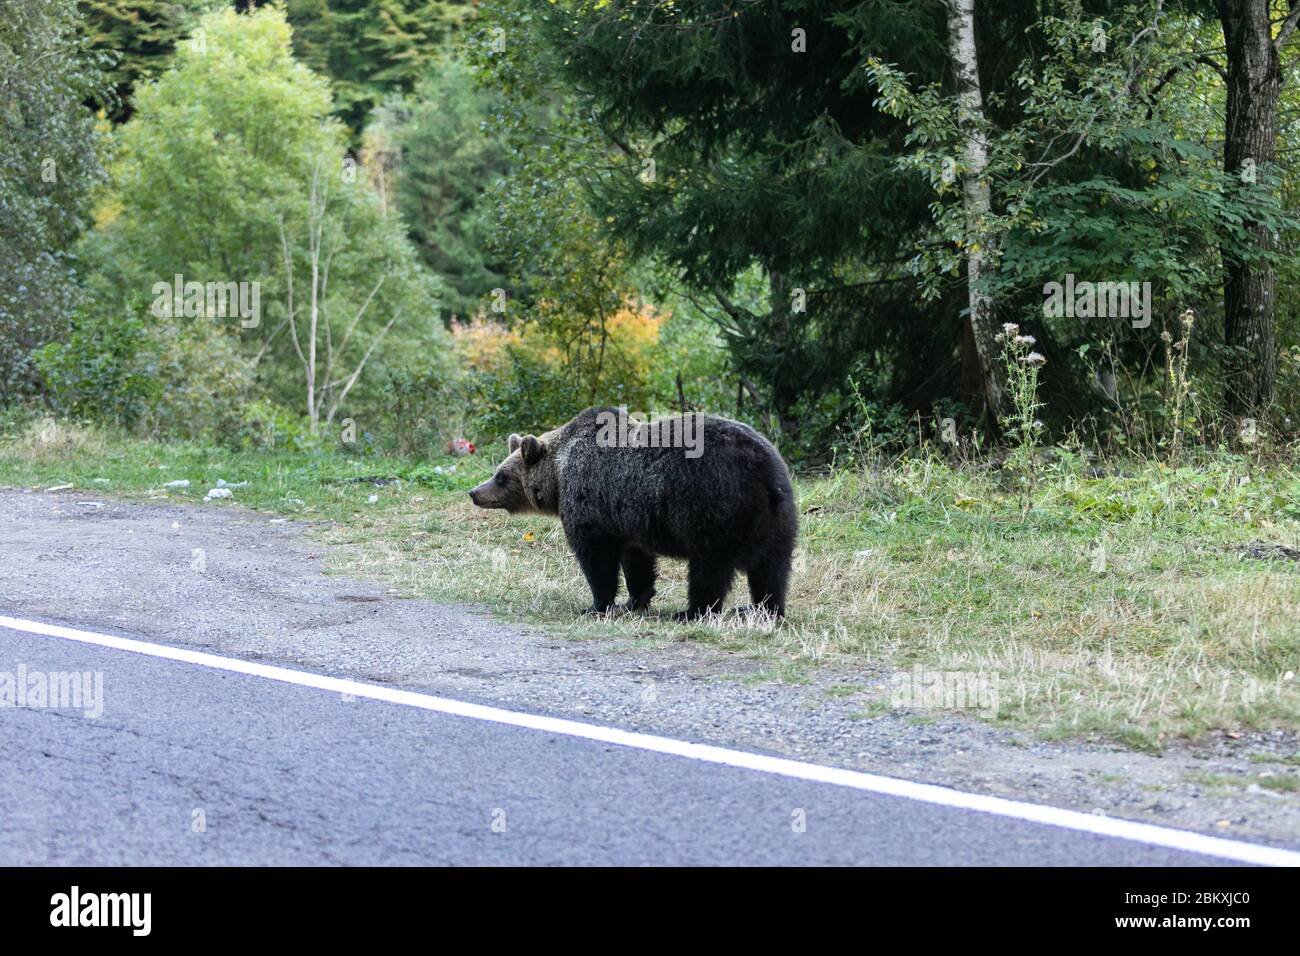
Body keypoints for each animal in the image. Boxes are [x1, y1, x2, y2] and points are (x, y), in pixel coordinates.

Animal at [467, 408, 790, 621]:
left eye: (501, 476)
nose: (474, 492)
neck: (558, 475)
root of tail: (763, 471)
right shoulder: (628, 518)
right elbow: (637, 562)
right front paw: (634, 600)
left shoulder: (591, 504)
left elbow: (596, 559)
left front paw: (597, 605)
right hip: (776, 516)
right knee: (772, 569)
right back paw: (762, 608)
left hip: (713, 508)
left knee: (709, 568)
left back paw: (691, 612)